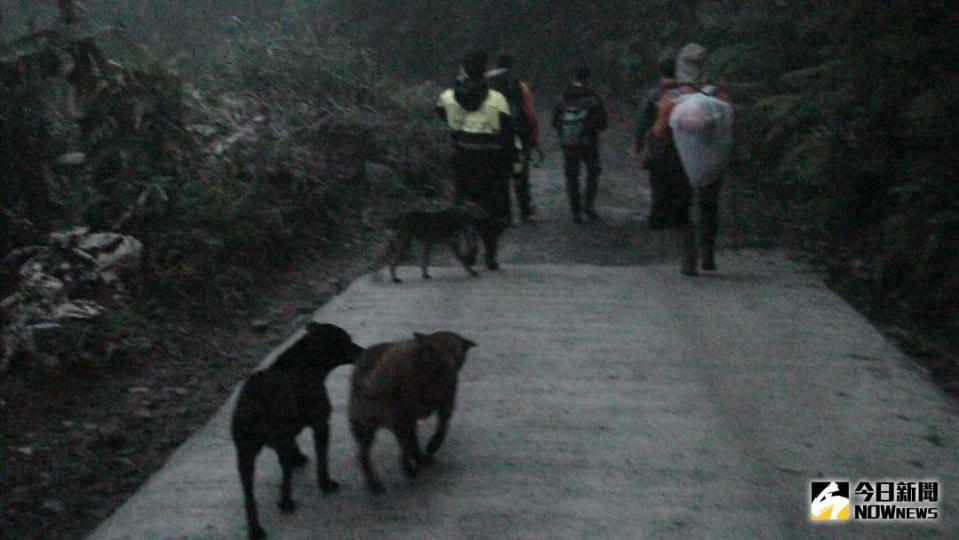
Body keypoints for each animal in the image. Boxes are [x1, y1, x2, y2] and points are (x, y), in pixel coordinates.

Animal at [231, 322, 366, 540]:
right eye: (345, 342)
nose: (362, 352)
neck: (305, 361)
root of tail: (252, 408)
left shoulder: (289, 434)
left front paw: (299, 457)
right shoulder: (321, 424)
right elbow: (322, 460)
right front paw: (326, 484)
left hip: (245, 453)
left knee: (249, 495)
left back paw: (255, 529)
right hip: (274, 443)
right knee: (285, 478)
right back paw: (286, 502)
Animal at [348, 330, 476, 494]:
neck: (438, 345)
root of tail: (371, 382)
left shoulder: (410, 422)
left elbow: (414, 442)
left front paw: (419, 456)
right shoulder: (445, 407)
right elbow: (440, 431)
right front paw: (429, 449)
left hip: (364, 428)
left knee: (363, 457)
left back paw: (375, 483)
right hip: (400, 421)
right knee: (404, 450)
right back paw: (411, 468)